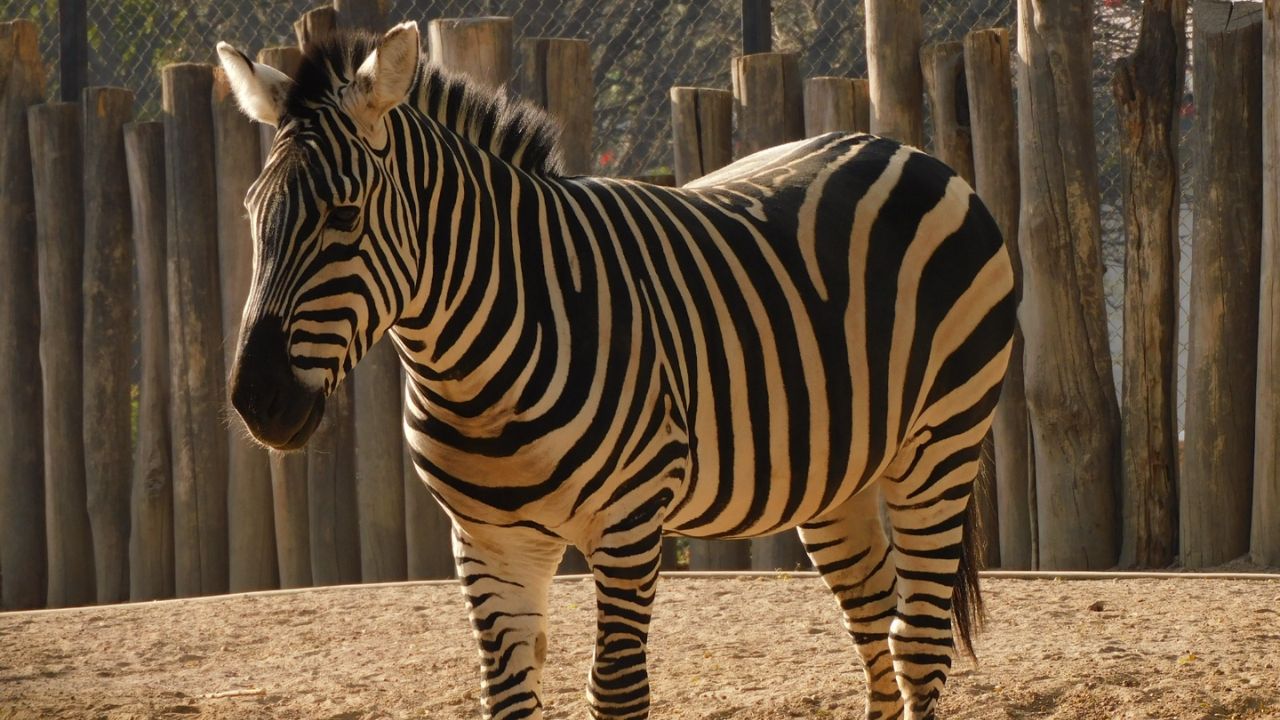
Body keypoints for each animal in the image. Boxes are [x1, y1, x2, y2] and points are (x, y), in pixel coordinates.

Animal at [220, 19, 1013, 717]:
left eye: (344, 216)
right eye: (251, 213)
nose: (257, 401)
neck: (474, 375)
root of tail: (904, 148)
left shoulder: (630, 522)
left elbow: (618, 691)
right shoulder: (488, 539)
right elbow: (506, 696)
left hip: (939, 445)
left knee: (918, 641)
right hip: (833, 474)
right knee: (873, 618)